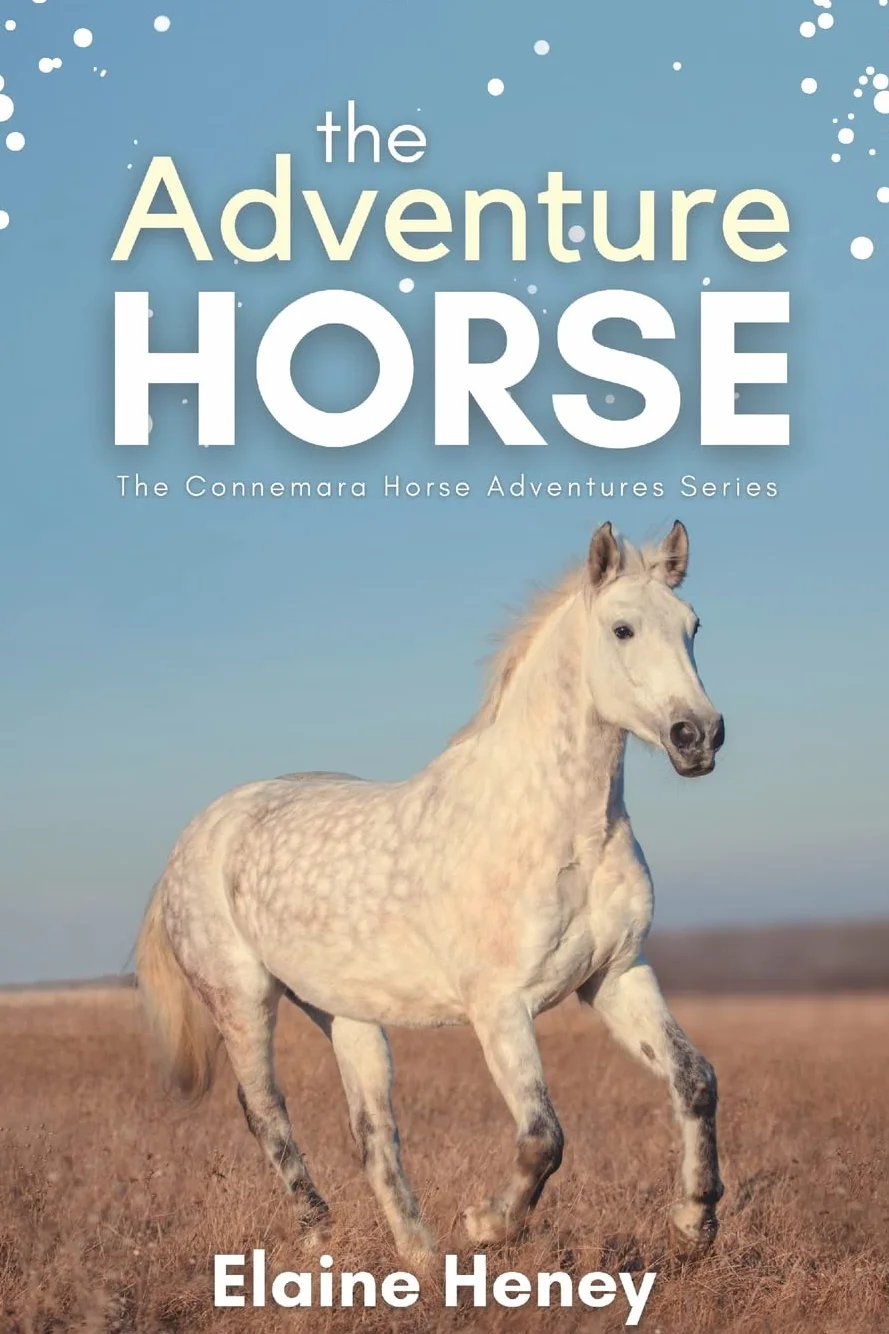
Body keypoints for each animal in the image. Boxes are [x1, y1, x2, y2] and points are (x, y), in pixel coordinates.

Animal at [135, 519, 725, 1261]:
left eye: (693, 625)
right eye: (622, 629)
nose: (698, 736)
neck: (565, 831)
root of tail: (195, 835)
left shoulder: (616, 977)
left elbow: (694, 1080)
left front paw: (695, 1219)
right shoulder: (500, 1007)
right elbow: (543, 1136)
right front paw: (486, 1223)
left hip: (346, 1015)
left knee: (372, 1132)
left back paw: (420, 1258)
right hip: (241, 1000)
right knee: (265, 1112)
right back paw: (321, 1232)